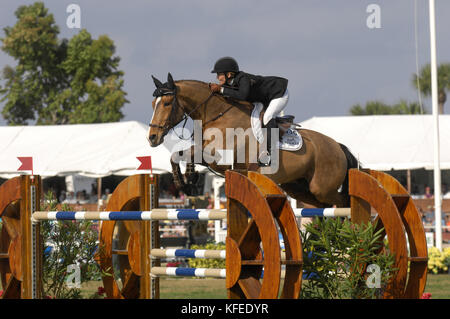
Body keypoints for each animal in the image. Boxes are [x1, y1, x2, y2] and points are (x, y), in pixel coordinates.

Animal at [148, 73, 358, 209]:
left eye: (167, 103)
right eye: (153, 104)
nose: (152, 138)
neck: (218, 115)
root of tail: (338, 147)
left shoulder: (220, 158)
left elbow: (187, 153)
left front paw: (187, 181)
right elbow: (179, 155)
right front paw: (186, 180)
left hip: (321, 187)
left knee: (343, 202)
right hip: (298, 188)